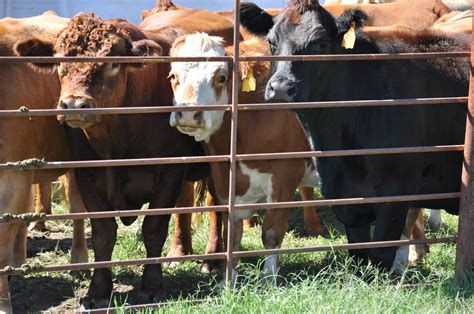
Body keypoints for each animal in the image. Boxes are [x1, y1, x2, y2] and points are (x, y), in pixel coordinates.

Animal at [12, 11, 241, 310]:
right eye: (59, 60)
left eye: (112, 63)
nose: (74, 104)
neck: (117, 141)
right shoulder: (87, 176)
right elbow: (103, 234)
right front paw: (98, 290)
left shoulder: (169, 172)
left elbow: (154, 228)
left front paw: (152, 286)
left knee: (218, 207)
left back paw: (212, 258)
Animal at [239, 0, 468, 270]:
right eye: (272, 42)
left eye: (320, 43)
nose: (281, 88)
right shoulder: (347, 200)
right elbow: (358, 257)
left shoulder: (396, 196)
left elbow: (380, 257)